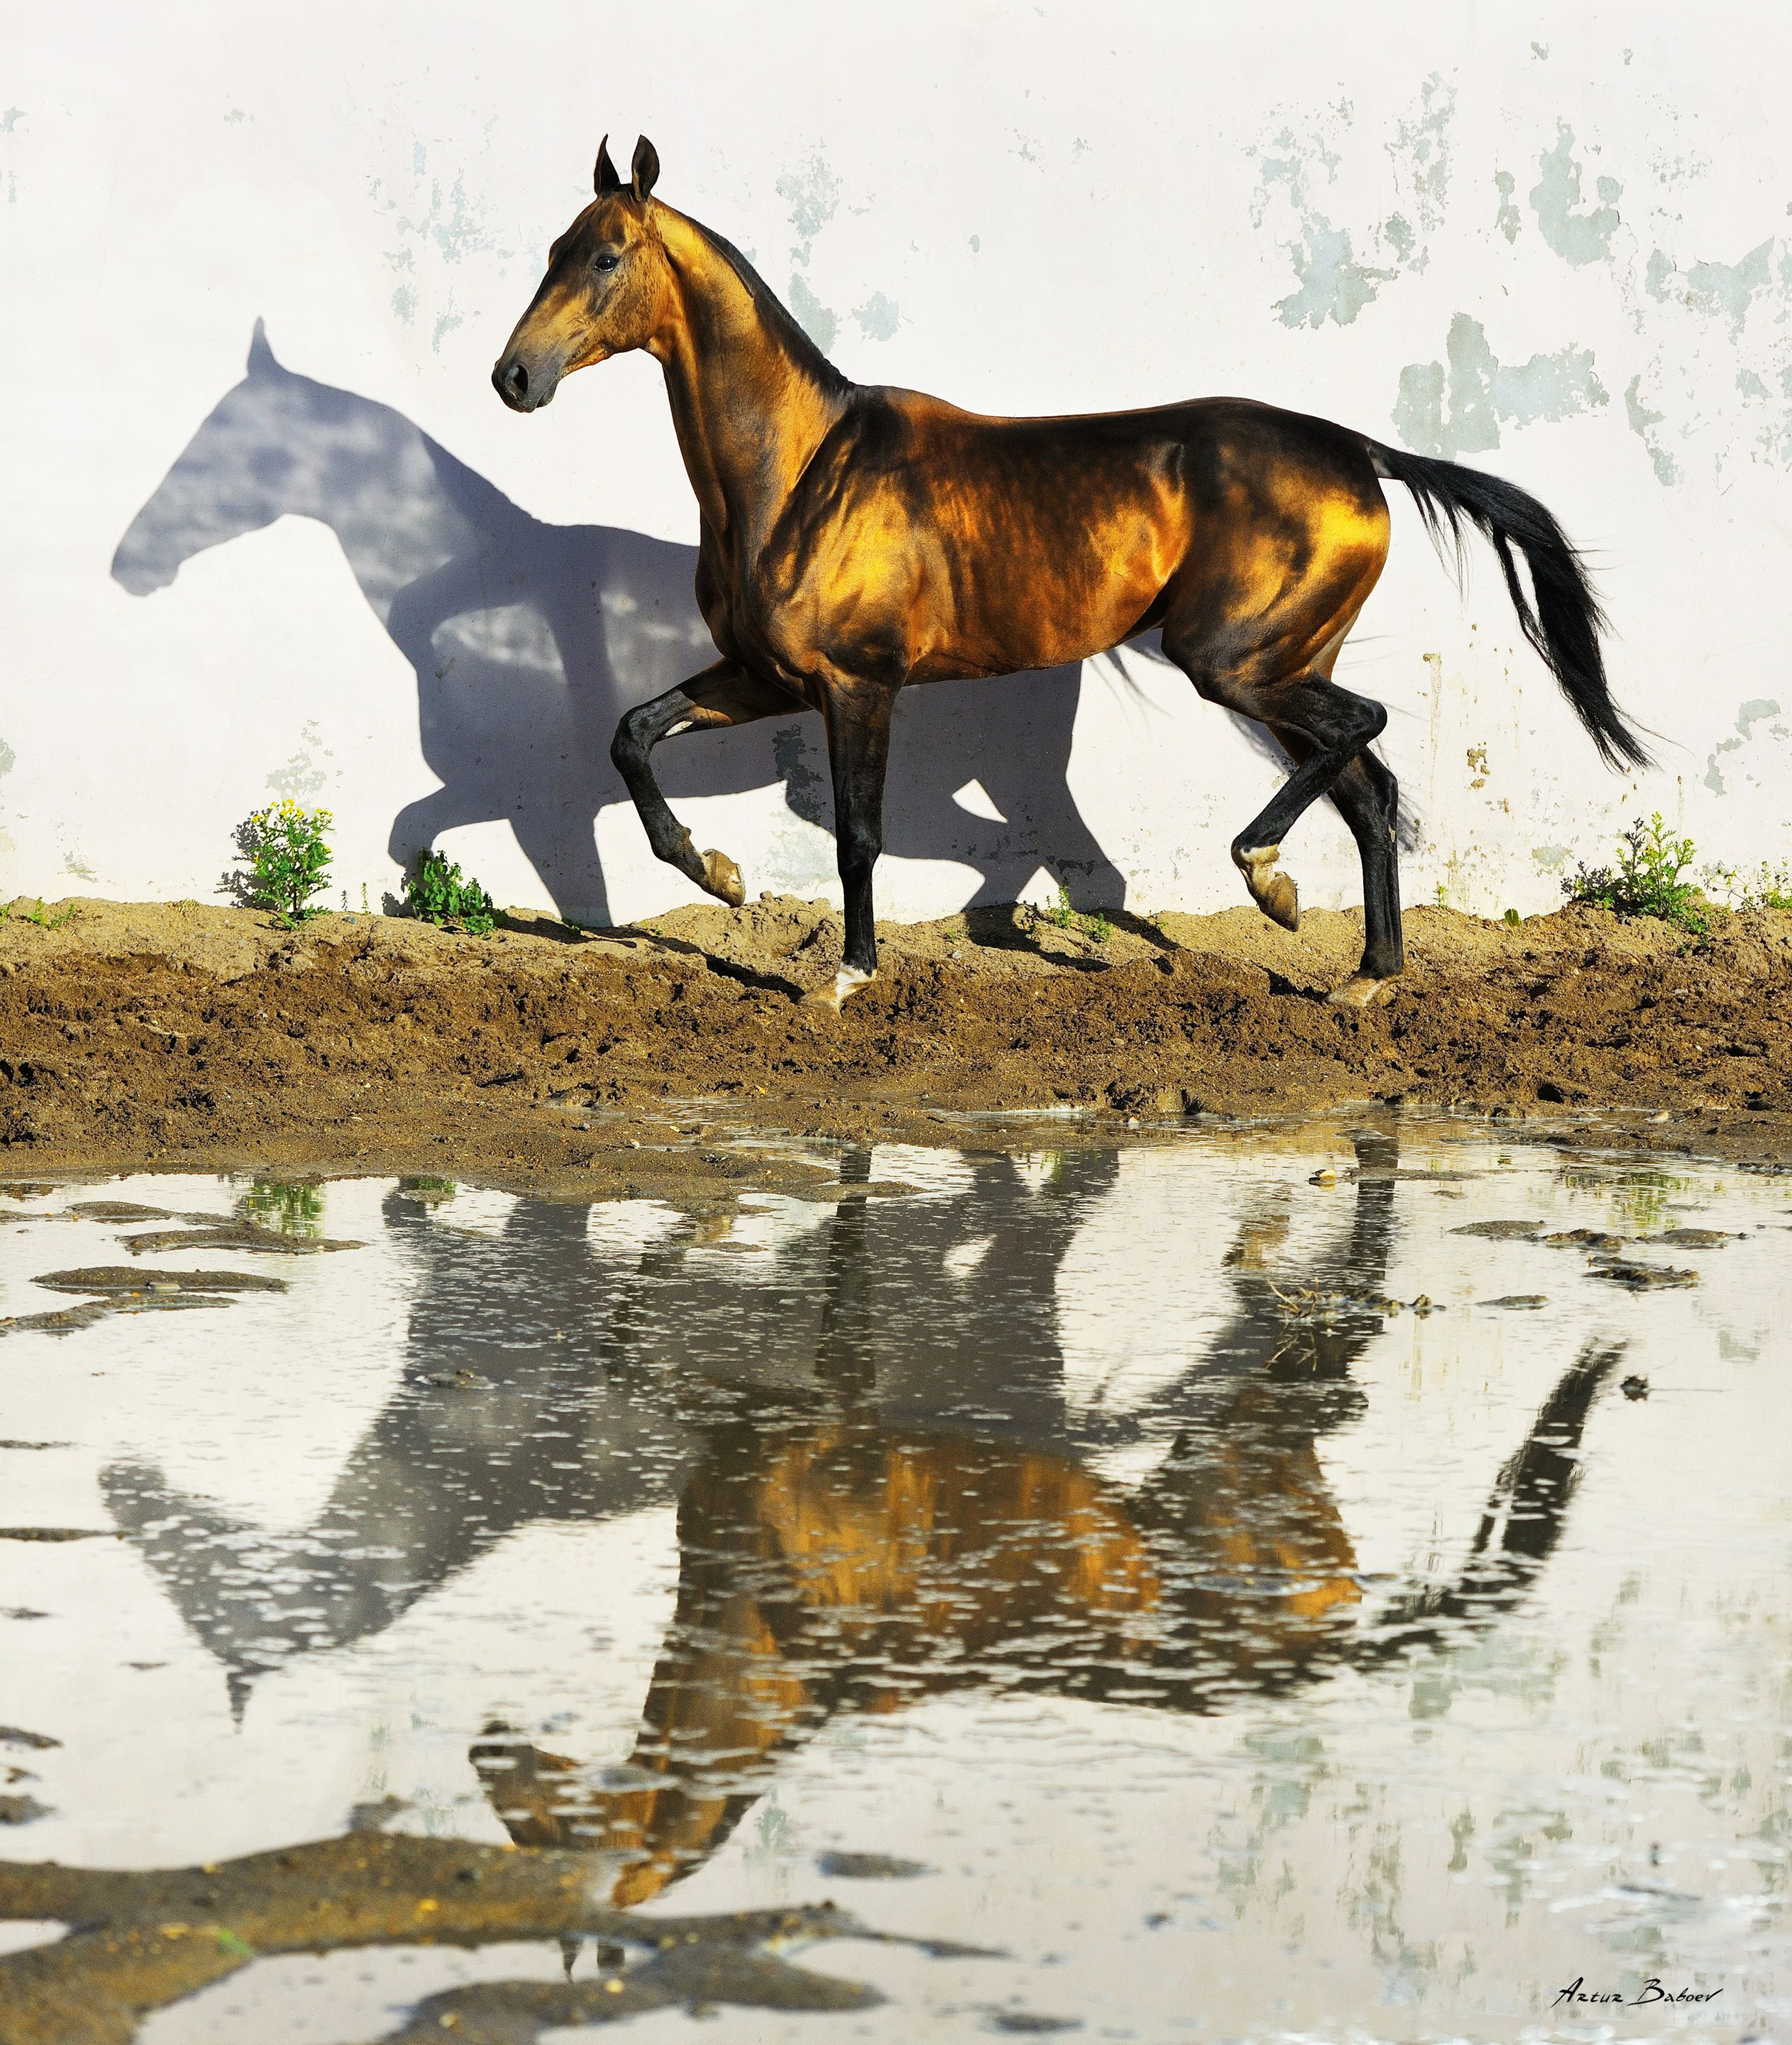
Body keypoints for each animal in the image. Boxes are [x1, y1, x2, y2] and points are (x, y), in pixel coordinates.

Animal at [493, 135, 1649, 1009]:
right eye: (553, 248)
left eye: (605, 257)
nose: (514, 376)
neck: (801, 472)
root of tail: (1357, 451)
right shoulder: (768, 676)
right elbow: (632, 734)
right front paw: (721, 876)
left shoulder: (859, 685)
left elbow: (858, 835)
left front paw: (850, 976)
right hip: (1283, 666)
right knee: (1369, 790)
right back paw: (1368, 973)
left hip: (1236, 663)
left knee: (1362, 733)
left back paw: (1269, 880)